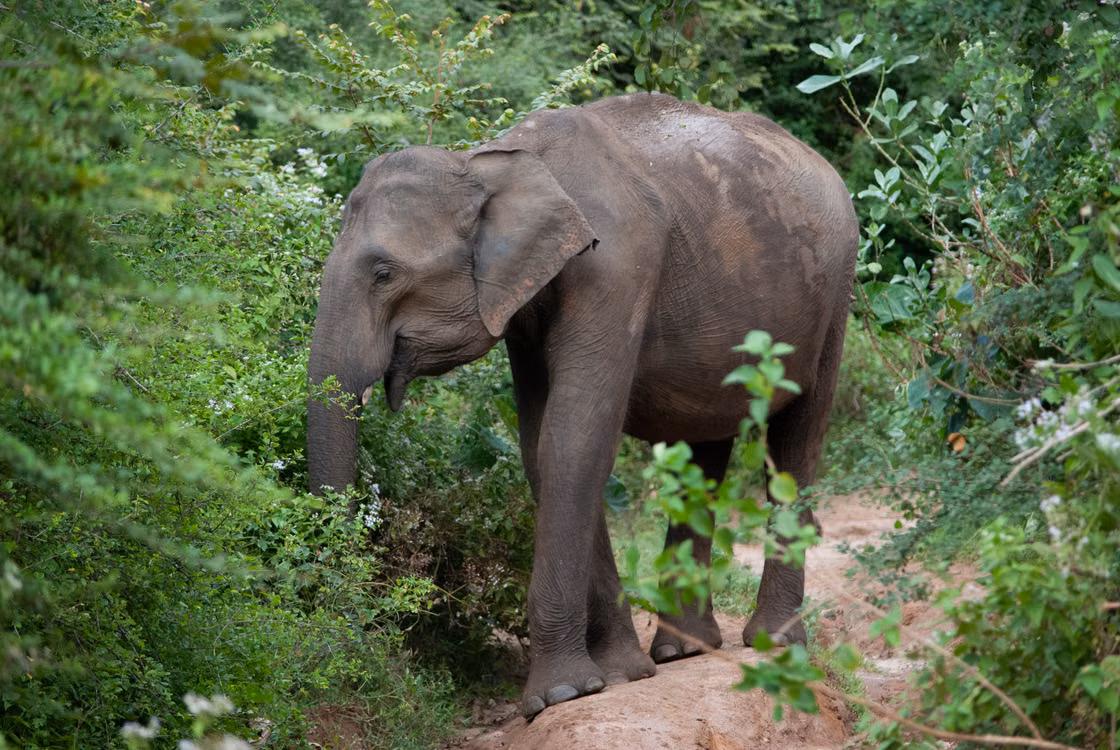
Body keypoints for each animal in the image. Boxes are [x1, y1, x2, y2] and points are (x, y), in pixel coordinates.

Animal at [307, 92, 859, 717]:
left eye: (384, 273)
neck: (492, 161)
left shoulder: (616, 270)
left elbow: (573, 439)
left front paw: (559, 695)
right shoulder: (524, 309)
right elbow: (542, 446)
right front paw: (620, 673)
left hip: (834, 294)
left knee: (796, 444)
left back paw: (774, 642)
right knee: (704, 455)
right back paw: (682, 651)